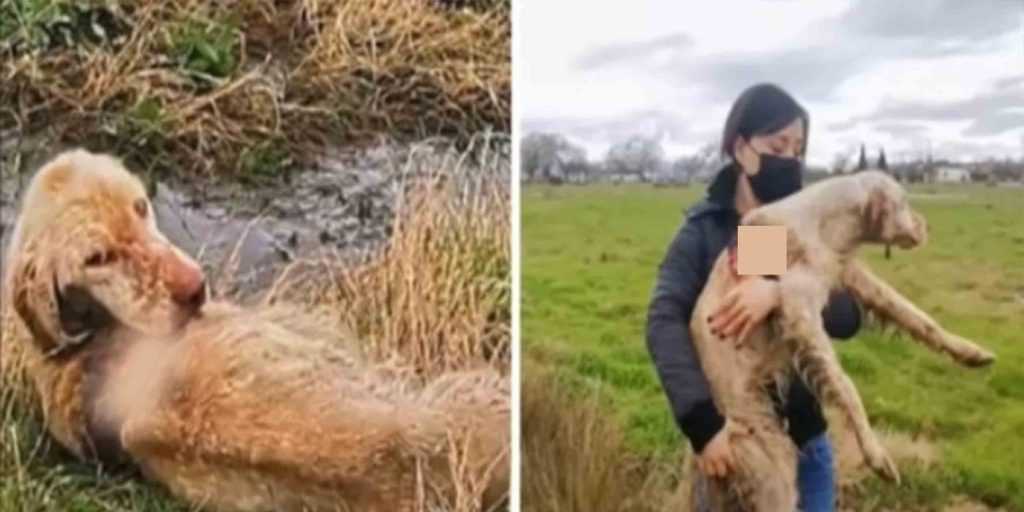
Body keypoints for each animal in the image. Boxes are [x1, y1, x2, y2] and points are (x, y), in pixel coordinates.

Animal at [688, 169, 991, 509]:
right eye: (904, 202)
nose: (927, 227)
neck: (825, 224)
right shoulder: (798, 306)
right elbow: (846, 385)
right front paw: (875, 454)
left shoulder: (850, 275)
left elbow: (914, 314)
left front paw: (969, 351)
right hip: (770, 463)